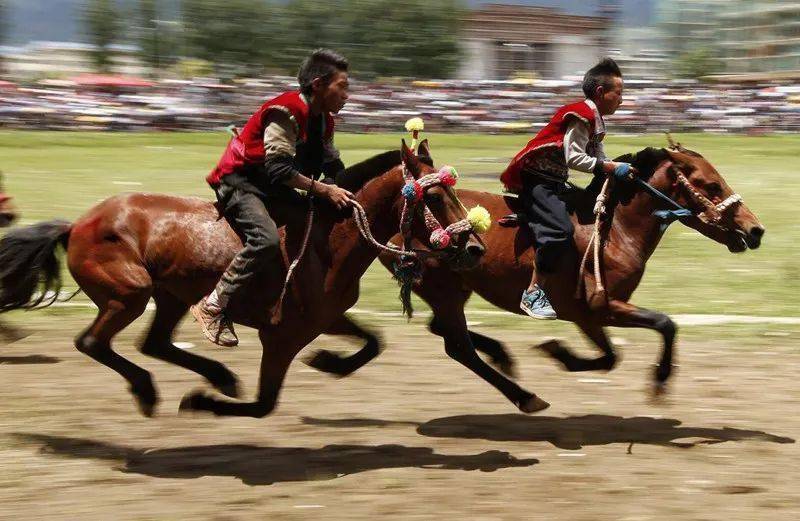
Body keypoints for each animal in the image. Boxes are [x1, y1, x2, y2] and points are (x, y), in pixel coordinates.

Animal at [0, 143, 488, 418]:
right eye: (434, 196)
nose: (476, 248)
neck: (329, 241)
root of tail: (77, 224)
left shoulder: (325, 319)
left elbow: (373, 343)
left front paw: (329, 362)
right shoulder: (282, 336)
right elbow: (263, 404)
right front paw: (201, 403)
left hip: (171, 295)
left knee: (153, 344)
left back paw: (217, 376)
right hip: (131, 294)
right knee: (94, 343)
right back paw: (152, 389)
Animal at [304, 141, 764, 410]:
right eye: (711, 185)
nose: (755, 230)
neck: (615, 230)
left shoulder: (589, 314)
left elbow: (611, 356)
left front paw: (559, 352)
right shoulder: (601, 306)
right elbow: (664, 325)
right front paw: (659, 380)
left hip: (455, 286)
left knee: (445, 332)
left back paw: (501, 355)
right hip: (445, 287)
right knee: (456, 344)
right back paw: (522, 394)